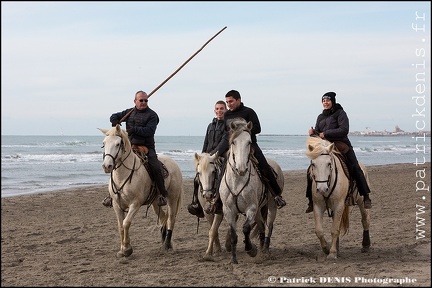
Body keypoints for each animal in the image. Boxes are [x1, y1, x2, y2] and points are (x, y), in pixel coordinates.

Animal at [99, 125, 182, 258]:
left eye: (118, 144)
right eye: (104, 143)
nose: (107, 166)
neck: (123, 176)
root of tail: (174, 164)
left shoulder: (135, 204)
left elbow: (126, 223)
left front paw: (127, 249)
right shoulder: (117, 205)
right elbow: (120, 226)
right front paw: (122, 250)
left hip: (172, 198)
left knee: (171, 219)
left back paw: (167, 244)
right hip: (156, 202)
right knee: (163, 217)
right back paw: (165, 242)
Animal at [219, 118, 284, 264]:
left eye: (249, 142)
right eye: (233, 142)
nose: (242, 168)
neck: (237, 181)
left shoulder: (251, 208)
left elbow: (246, 228)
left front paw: (251, 249)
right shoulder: (228, 210)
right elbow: (233, 234)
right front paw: (233, 259)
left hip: (271, 206)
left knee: (269, 225)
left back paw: (265, 249)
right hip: (260, 209)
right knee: (261, 226)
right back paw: (261, 246)